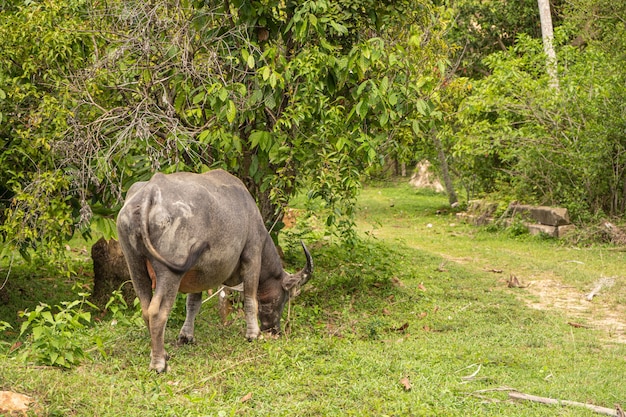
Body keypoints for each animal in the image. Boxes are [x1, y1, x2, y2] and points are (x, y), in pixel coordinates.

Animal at [116, 169, 310, 370]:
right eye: (285, 297)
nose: (274, 330)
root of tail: (151, 192)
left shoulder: (198, 274)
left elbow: (193, 304)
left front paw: (186, 336)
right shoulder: (253, 255)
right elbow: (250, 298)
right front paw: (253, 334)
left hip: (134, 264)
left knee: (145, 309)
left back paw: (162, 353)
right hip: (169, 273)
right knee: (156, 312)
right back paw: (159, 364)